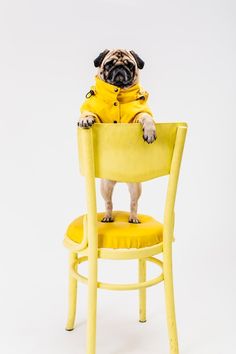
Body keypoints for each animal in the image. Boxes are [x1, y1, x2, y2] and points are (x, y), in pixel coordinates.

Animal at [78, 48, 158, 223]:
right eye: (109, 64)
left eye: (129, 65)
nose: (120, 68)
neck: (119, 92)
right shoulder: (96, 114)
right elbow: (89, 113)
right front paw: (85, 119)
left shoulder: (138, 115)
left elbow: (146, 117)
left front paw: (149, 131)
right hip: (105, 186)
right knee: (108, 202)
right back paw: (108, 217)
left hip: (136, 187)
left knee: (133, 203)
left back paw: (133, 218)